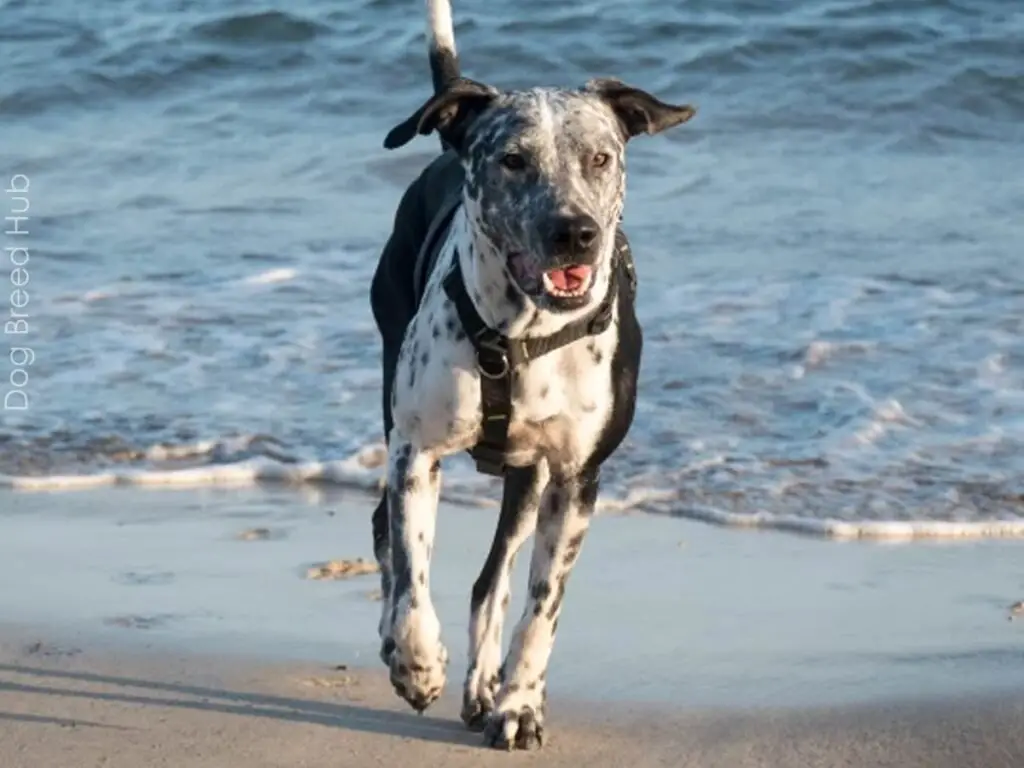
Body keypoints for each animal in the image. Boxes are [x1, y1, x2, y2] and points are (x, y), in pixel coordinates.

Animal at [368, 0, 696, 753]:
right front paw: (418, 661)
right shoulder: (415, 451)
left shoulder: (575, 478)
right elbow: (412, 570)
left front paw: (518, 701)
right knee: (386, 539)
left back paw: (487, 687)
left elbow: (542, 607)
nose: (573, 232)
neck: (522, 334)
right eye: (513, 160)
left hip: (528, 480)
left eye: (600, 157)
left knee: (492, 582)